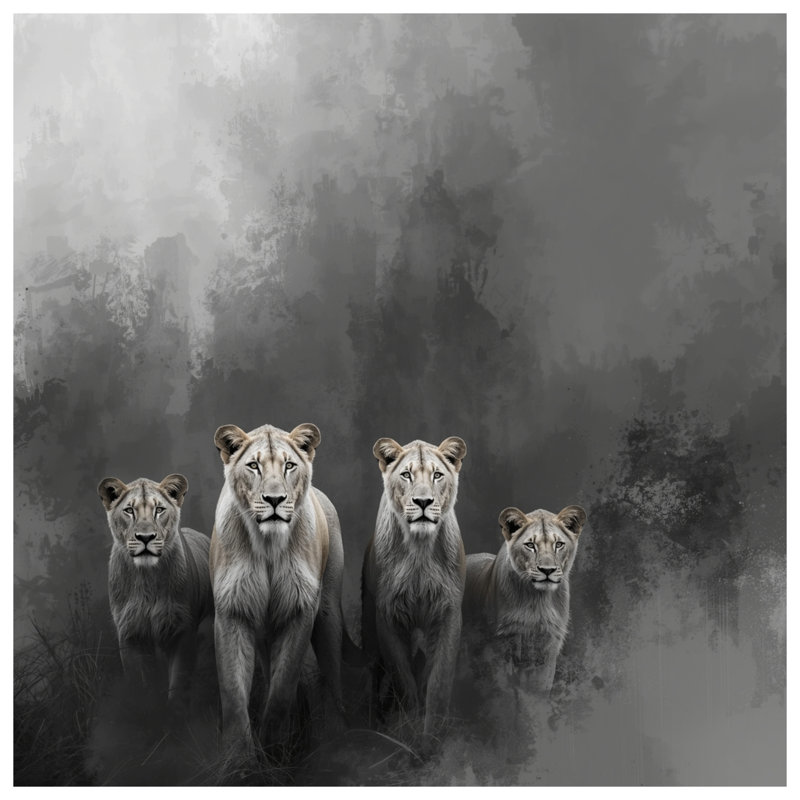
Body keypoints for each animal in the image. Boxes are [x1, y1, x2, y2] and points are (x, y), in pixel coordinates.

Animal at [98, 473, 213, 702]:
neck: (147, 577)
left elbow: (178, 686)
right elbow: (142, 684)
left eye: (159, 509)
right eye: (129, 510)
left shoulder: (182, 631)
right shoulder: (131, 634)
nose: (145, 537)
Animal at [209, 422, 347, 755]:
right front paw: (239, 755)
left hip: (328, 614)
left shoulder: (301, 610)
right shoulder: (232, 611)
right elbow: (233, 692)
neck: (269, 545)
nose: (275, 499)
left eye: (289, 465)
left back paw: (337, 736)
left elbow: (283, 686)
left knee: (333, 676)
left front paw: (274, 744)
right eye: (253, 466)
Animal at [361, 436, 467, 741]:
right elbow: (402, 678)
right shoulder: (386, 615)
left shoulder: (448, 613)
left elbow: (438, 681)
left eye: (437, 475)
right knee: (374, 671)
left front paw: (433, 736)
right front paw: (409, 730)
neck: (420, 548)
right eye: (406, 475)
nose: (422, 501)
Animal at [462, 504, 587, 693]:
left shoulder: (547, 650)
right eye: (530, 545)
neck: (538, 600)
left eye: (559, 544)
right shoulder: (501, 647)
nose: (547, 570)